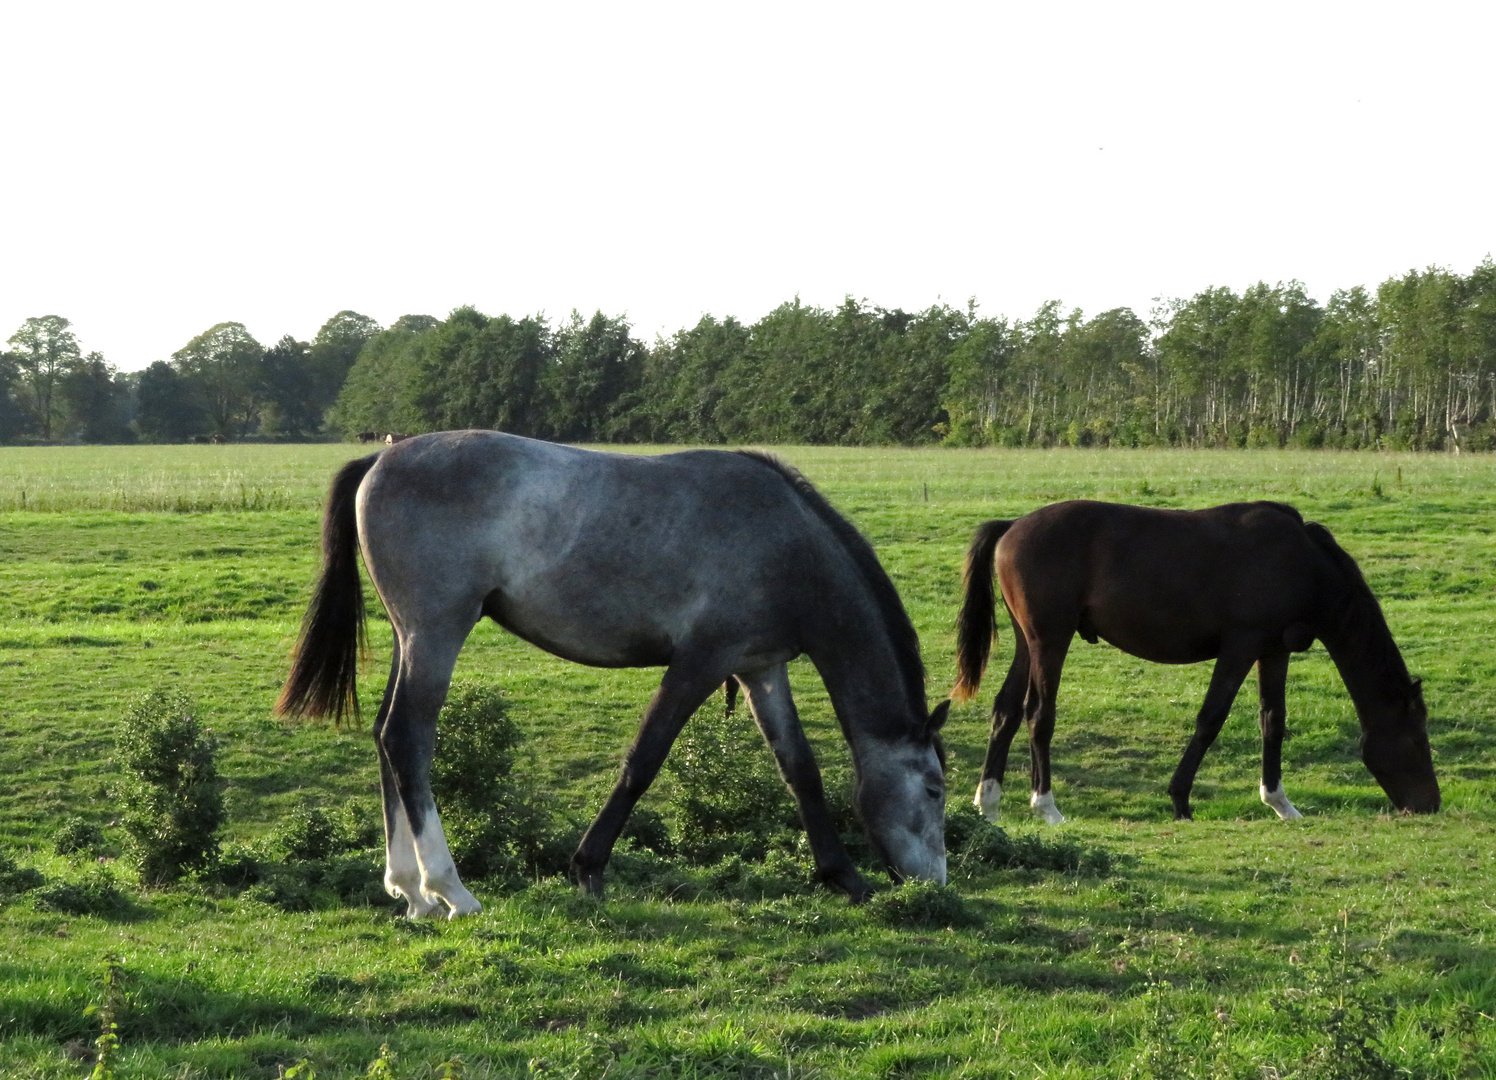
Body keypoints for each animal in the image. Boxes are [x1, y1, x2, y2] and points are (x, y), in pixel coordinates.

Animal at [278, 427, 945, 915]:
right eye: (935, 789)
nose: (934, 884)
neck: (785, 541)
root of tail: (383, 455)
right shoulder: (700, 663)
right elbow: (642, 762)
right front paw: (588, 868)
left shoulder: (760, 669)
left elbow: (800, 771)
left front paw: (844, 876)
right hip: (437, 633)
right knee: (407, 738)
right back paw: (450, 890)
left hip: (408, 638)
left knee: (385, 739)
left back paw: (411, 891)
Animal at [951, 499, 1442, 819]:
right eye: (1417, 739)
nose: (1430, 805)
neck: (1303, 563)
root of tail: (1012, 525)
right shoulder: (1240, 647)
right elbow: (1211, 719)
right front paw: (1180, 799)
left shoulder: (1274, 650)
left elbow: (1273, 721)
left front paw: (1279, 802)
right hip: (1051, 641)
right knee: (1038, 715)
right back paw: (1046, 806)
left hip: (1028, 642)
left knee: (1006, 712)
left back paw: (988, 802)